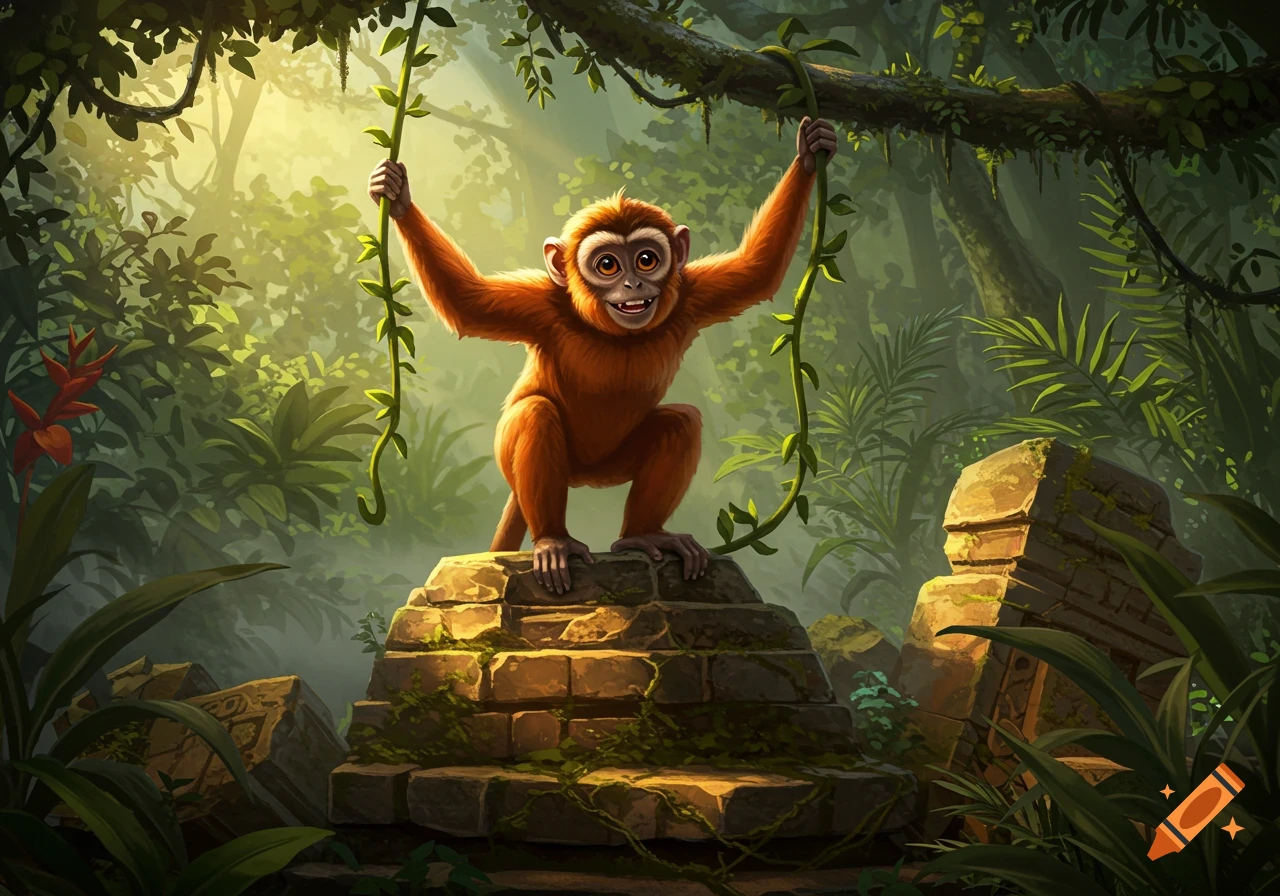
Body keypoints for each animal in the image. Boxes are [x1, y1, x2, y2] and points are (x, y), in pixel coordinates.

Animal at [368, 117, 838, 593]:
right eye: (608, 264)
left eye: (647, 259)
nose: (633, 285)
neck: (614, 335)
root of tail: (581, 477)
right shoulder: (542, 305)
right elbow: (465, 302)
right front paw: (397, 196)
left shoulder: (691, 296)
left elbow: (757, 271)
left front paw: (810, 151)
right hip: (526, 463)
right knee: (535, 413)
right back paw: (553, 540)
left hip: (609, 468)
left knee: (681, 422)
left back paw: (641, 534)